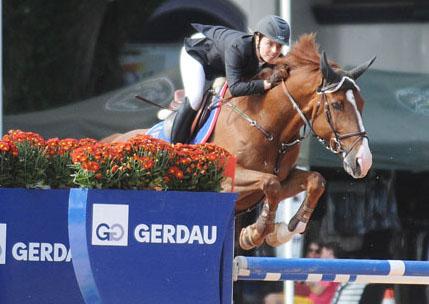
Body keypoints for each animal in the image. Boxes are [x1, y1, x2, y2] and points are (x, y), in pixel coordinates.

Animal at [102, 34, 372, 251]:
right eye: (337, 105)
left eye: (361, 103)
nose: (364, 161)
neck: (267, 124)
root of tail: (111, 140)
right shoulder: (226, 181)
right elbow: (270, 183)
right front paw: (255, 234)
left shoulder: (281, 180)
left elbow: (314, 181)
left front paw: (285, 230)